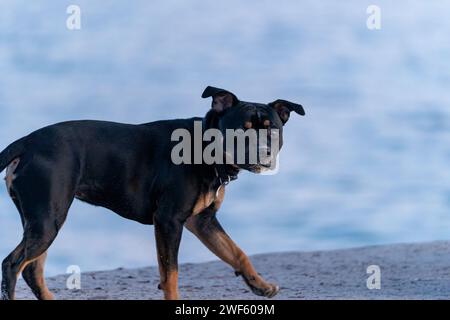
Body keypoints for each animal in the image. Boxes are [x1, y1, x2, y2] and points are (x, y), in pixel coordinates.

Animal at [0, 86, 304, 298]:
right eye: (242, 130)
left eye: (273, 131)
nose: (264, 153)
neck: (205, 147)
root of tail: (27, 142)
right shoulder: (169, 221)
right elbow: (170, 274)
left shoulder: (203, 221)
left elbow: (237, 252)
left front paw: (260, 286)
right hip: (48, 220)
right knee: (13, 265)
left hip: (42, 221)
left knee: (33, 270)